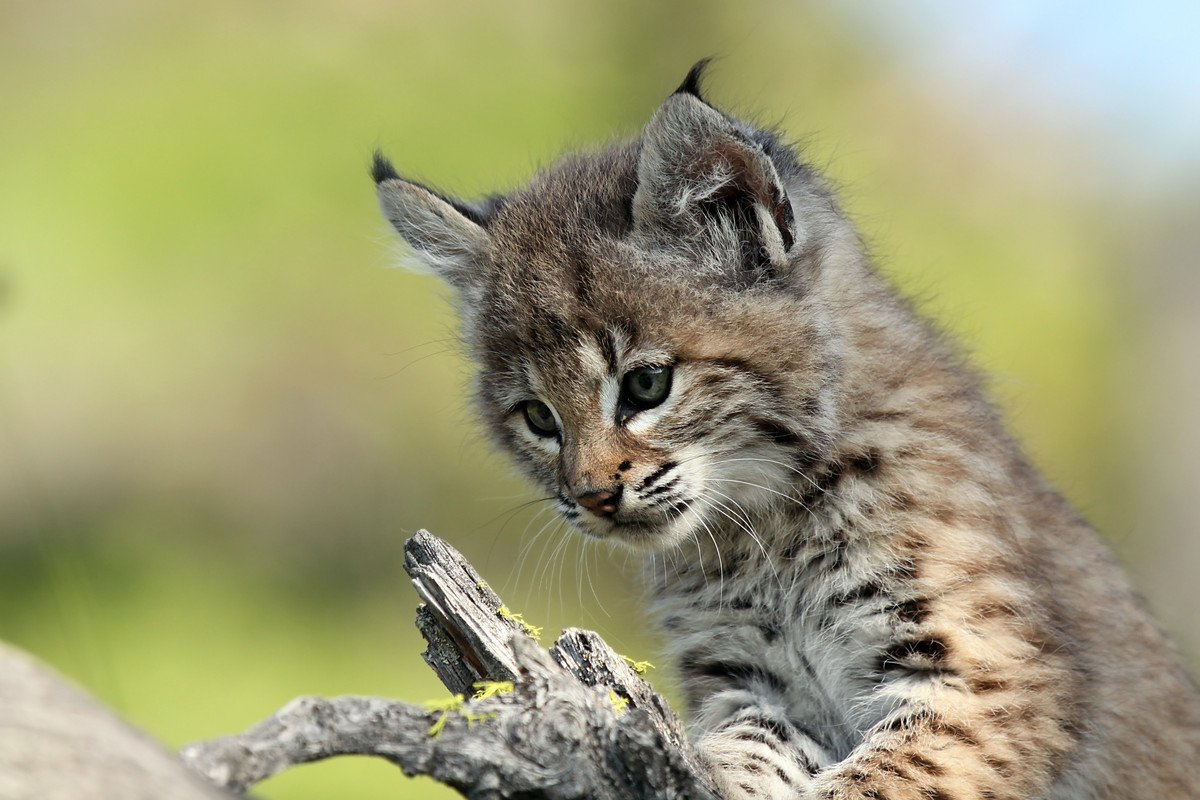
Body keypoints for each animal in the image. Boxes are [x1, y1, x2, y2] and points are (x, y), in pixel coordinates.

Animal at [372, 64, 1200, 800]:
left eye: (646, 385)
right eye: (539, 418)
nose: (594, 498)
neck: (766, 527)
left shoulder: (993, 678)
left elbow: (880, 782)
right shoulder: (752, 682)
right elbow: (739, 752)